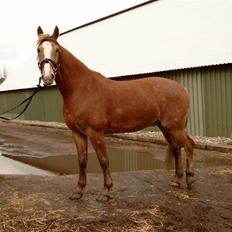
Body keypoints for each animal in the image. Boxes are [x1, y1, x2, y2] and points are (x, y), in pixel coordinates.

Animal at [36, 25, 195, 201]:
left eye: (57, 50)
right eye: (38, 50)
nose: (48, 77)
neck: (81, 88)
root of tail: (182, 89)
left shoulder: (96, 132)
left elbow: (104, 160)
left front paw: (106, 191)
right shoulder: (77, 133)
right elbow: (82, 161)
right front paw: (78, 190)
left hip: (175, 127)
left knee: (188, 145)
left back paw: (189, 179)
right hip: (166, 128)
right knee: (176, 148)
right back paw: (176, 180)